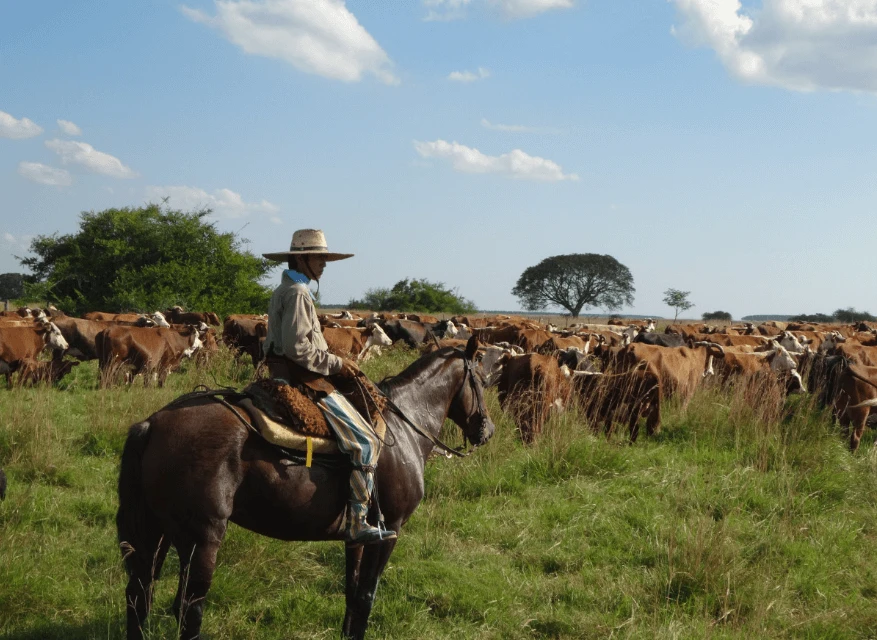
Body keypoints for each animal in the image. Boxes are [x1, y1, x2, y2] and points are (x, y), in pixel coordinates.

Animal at [117, 336, 495, 640]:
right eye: (481, 380)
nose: (486, 430)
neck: (403, 430)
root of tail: (153, 423)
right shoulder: (390, 531)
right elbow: (366, 597)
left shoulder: (358, 535)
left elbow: (352, 593)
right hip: (202, 539)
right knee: (188, 608)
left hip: (159, 533)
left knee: (140, 595)